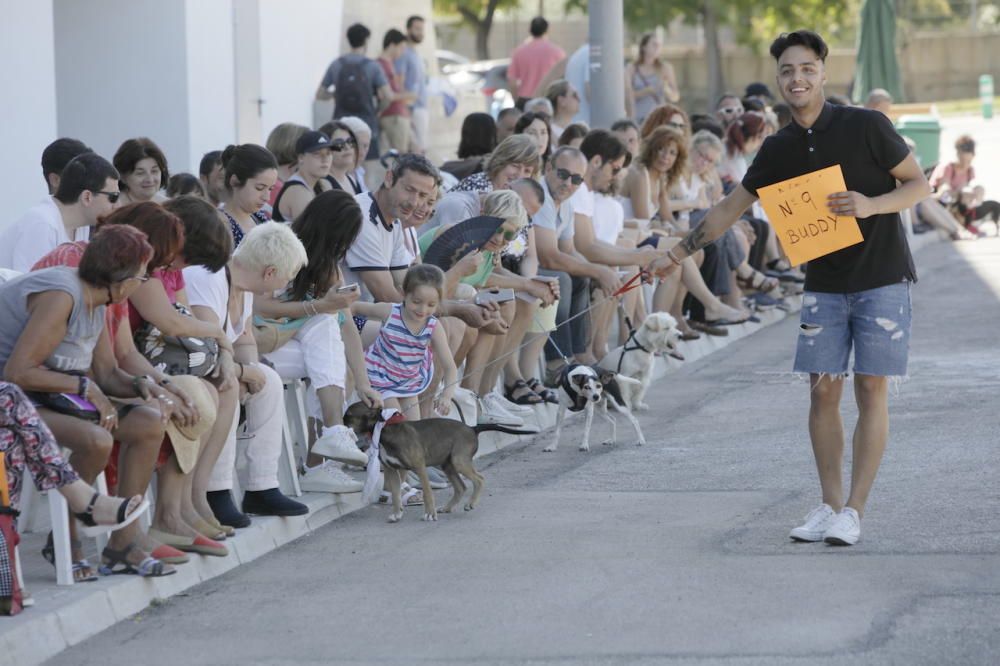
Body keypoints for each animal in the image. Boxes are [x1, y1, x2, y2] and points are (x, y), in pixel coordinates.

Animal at [342, 400, 532, 520]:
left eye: (349, 415)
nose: (340, 424)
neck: (385, 430)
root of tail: (472, 428)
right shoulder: (392, 471)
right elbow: (396, 495)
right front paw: (397, 513)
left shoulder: (419, 467)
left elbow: (427, 493)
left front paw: (429, 514)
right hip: (448, 464)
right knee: (461, 487)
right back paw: (448, 507)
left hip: (459, 461)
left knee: (479, 479)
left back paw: (470, 503)